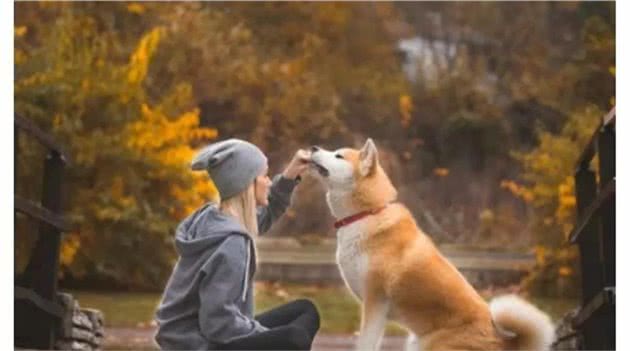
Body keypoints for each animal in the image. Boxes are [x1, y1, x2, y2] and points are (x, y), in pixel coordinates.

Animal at [308, 140, 556, 351]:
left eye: (338, 155)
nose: (313, 147)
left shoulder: (375, 302)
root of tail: (504, 344)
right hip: (414, 343)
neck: (368, 213)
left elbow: (365, 344)